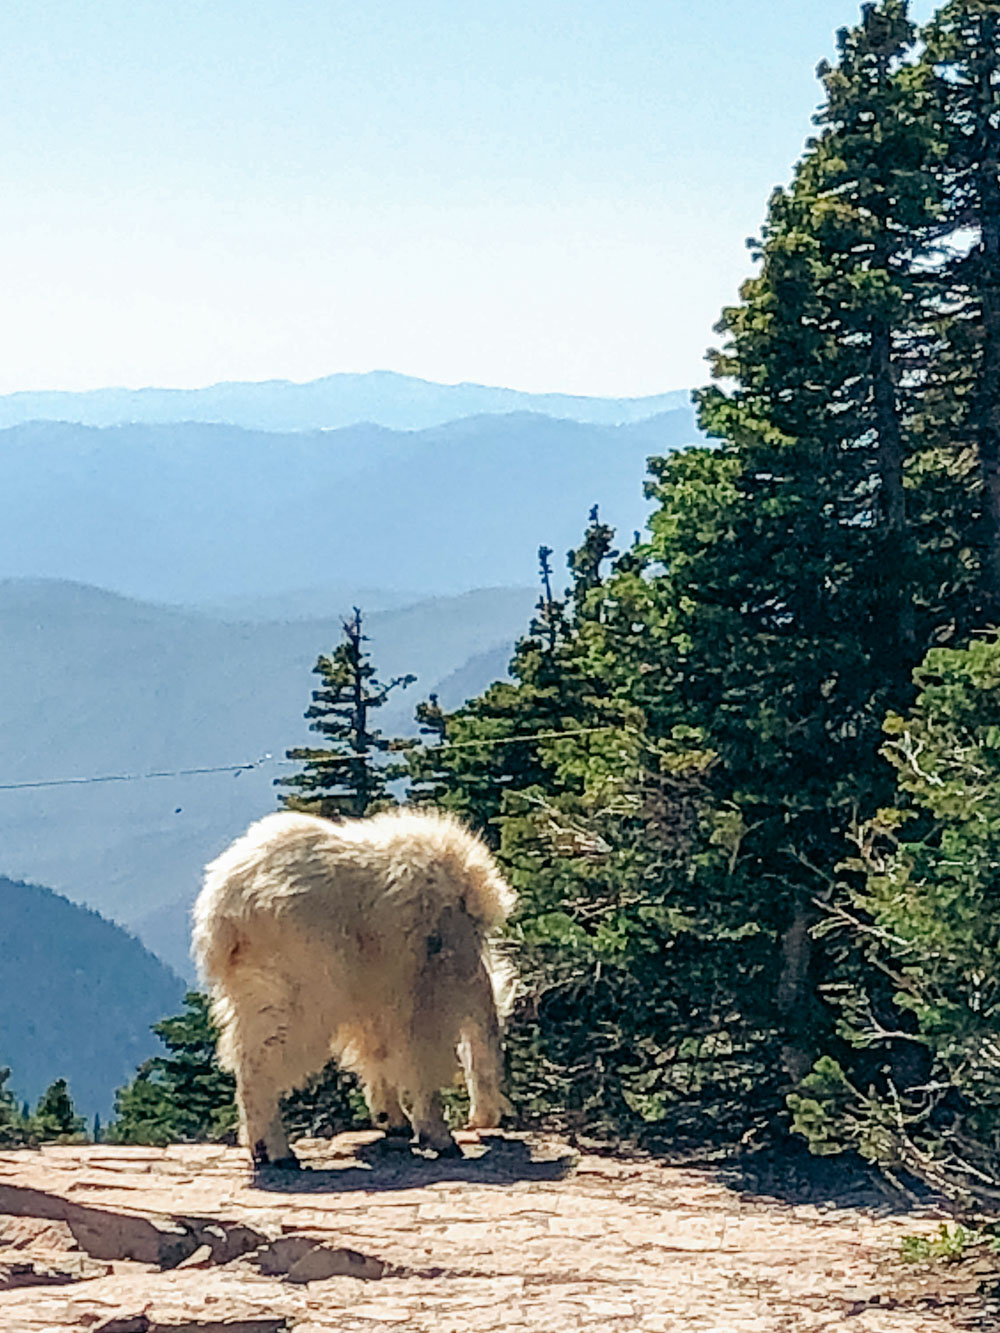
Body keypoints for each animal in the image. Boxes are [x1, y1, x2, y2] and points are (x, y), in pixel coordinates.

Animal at [192, 799, 517, 1167]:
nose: (487, 1119)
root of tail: (223, 915)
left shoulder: (377, 990)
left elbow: (378, 1051)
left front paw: (393, 1120)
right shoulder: (422, 987)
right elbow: (422, 1058)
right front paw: (439, 1134)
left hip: (253, 989)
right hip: (300, 988)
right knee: (260, 1061)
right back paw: (276, 1150)